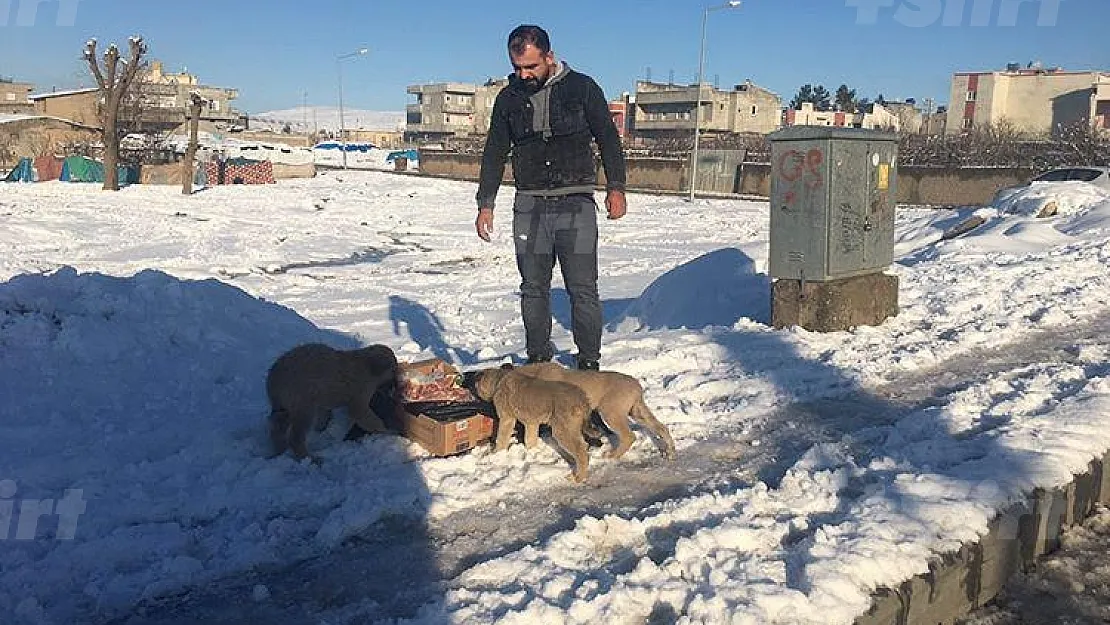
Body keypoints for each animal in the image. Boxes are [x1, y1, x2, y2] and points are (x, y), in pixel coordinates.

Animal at [264, 344, 395, 461]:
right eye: (393, 368)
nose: (393, 384)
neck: (368, 365)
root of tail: (274, 377)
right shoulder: (360, 390)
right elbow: (361, 413)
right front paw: (386, 430)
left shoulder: (324, 395)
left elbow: (324, 411)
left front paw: (321, 428)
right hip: (302, 397)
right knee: (296, 434)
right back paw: (310, 458)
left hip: (282, 402)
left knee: (278, 423)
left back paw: (279, 450)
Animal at [506, 361, 674, 459]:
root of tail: (636, 384)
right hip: (637, 411)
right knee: (661, 427)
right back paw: (670, 451)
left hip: (610, 411)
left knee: (629, 436)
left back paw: (612, 455)